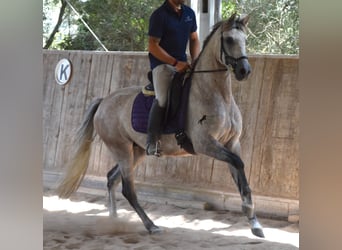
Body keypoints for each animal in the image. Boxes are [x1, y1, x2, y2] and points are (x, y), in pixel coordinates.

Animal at [56, 13, 264, 238]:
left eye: (245, 40)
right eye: (229, 40)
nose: (244, 71)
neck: (217, 95)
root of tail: (104, 101)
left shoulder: (231, 142)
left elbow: (240, 173)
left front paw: (255, 223)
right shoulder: (205, 144)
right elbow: (238, 163)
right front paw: (249, 214)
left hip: (136, 151)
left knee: (112, 178)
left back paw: (114, 220)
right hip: (121, 149)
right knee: (128, 189)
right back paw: (150, 225)